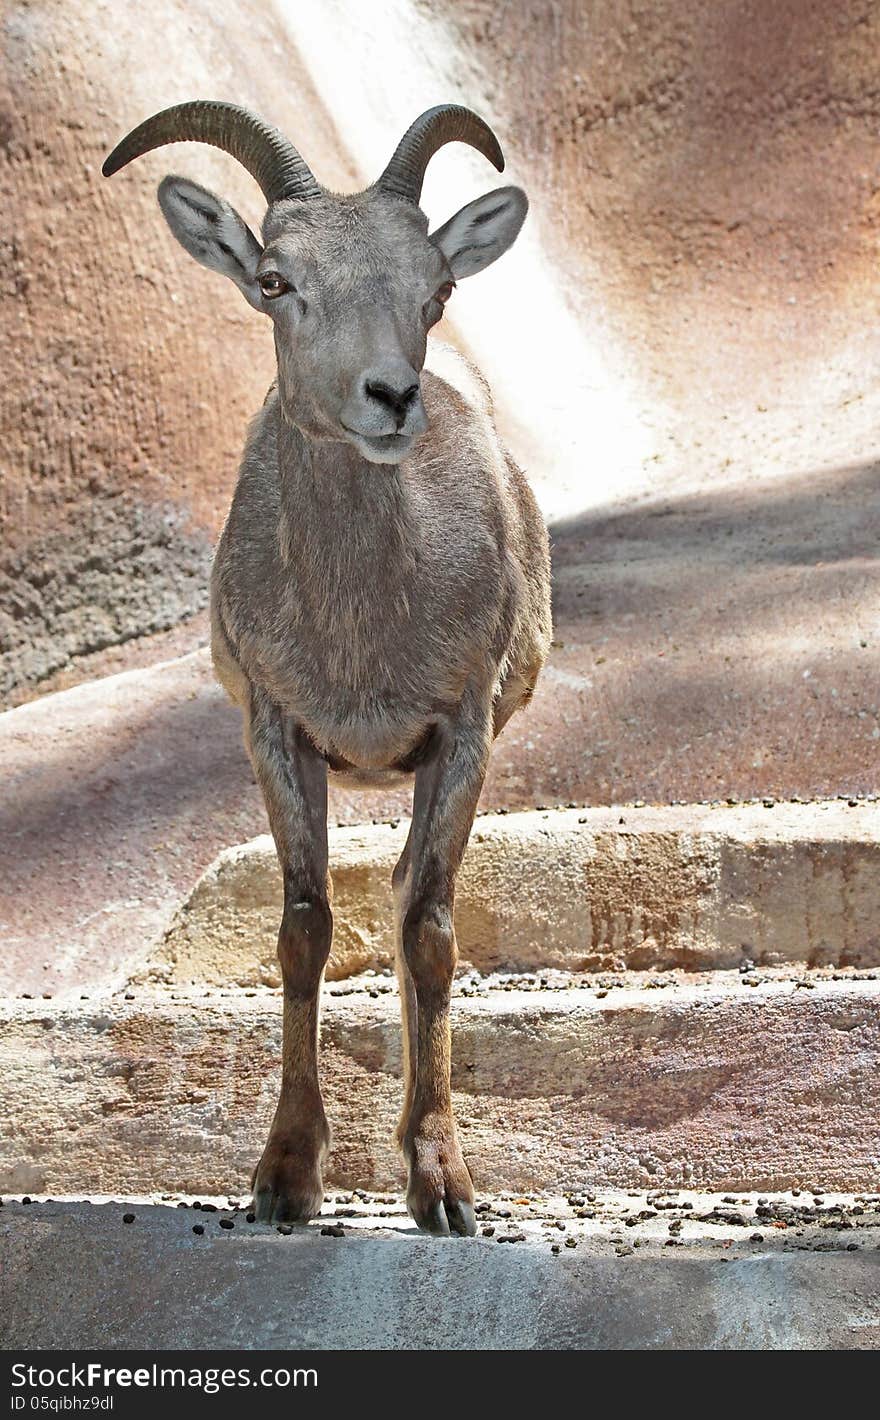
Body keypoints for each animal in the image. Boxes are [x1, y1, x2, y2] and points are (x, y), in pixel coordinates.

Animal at [105, 100, 550, 1232]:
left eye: (436, 288)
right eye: (274, 281)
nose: (389, 395)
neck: (359, 636)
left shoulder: (461, 732)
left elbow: (429, 929)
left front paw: (443, 1187)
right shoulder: (276, 729)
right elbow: (304, 927)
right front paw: (285, 1179)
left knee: (402, 900)